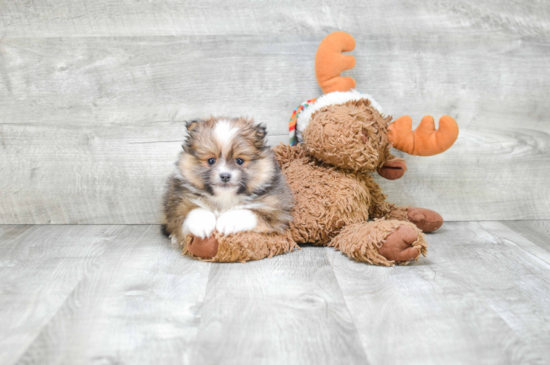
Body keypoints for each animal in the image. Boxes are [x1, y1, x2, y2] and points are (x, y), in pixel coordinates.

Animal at [162, 115, 296, 245]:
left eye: (239, 161)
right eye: (211, 160)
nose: (225, 176)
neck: (225, 198)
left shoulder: (277, 211)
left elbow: (251, 211)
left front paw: (228, 221)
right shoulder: (178, 200)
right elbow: (194, 209)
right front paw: (202, 223)